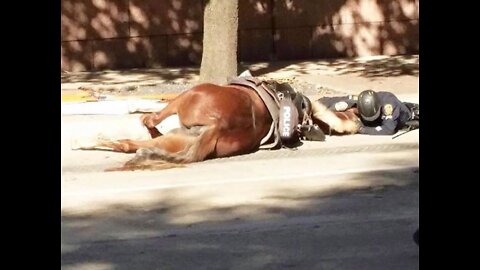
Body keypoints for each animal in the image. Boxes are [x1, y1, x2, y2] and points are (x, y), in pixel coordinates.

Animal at [72, 76, 360, 171]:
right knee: (130, 144)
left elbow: (147, 115)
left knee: (146, 124)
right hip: (175, 137)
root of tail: (216, 127)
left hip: (184, 98)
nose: (357, 121)